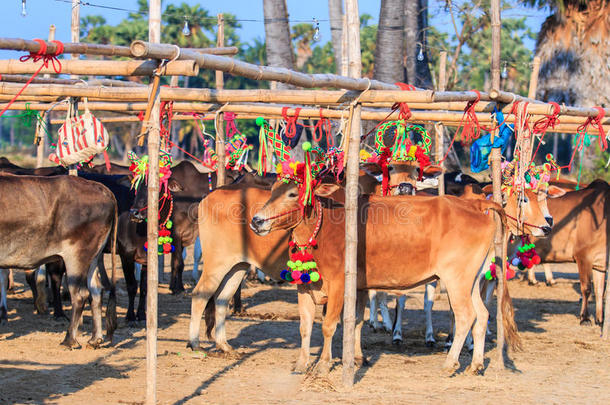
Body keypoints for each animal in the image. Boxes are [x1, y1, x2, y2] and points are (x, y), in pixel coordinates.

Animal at [0, 174, 117, 348]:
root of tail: (103, 189)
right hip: (93, 257)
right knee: (96, 291)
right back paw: (95, 339)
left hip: (76, 258)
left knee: (80, 294)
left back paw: (69, 340)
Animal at [247, 178, 552, 374]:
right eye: (272, 190)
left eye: (291, 194)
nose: (256, 220)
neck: (322, 228)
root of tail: (477, 206)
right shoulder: (312, 287)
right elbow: (313, 326)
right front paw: (306, 363)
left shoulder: (338, 285)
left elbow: (330, 325)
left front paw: (323, 364)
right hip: (472, 280)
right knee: (482, 315)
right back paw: (475, 365)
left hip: (456, 280)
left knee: (466, 316)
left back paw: (449, 364)